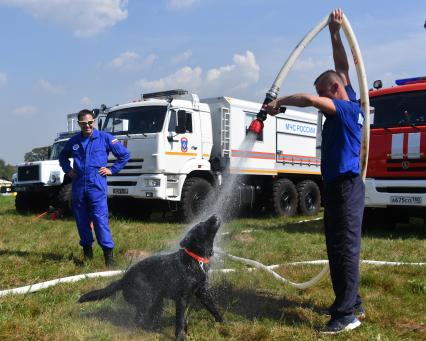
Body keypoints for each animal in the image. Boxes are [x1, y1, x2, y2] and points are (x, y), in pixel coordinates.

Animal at [78, 214, 223, 338]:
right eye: (200, 225)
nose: (215, 215)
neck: (195, 259)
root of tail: (123, 280)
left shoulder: (202, 292)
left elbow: (212, 307)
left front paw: (222, 322)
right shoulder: (182, 299)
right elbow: (180, 321)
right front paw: (180, 337)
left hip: (158, 301)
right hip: (147, 299)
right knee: (138, 320)